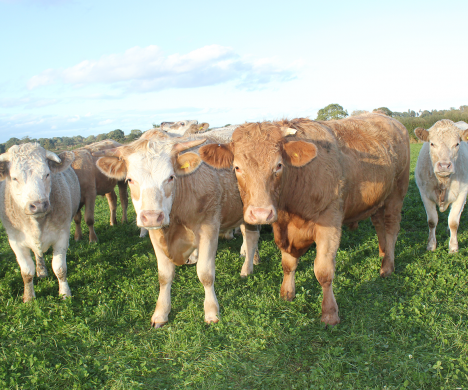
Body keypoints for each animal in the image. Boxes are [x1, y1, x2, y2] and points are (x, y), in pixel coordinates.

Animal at [0, 143, 80, 302]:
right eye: (14, 178)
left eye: (47, 174)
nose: (38, 205)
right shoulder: (15, 241)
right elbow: (26, 272)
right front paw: (29, 297)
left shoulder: (62, 236)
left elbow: (60, 268)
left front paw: (65, 293)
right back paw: (41, 271)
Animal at [96, 133, 260, 328]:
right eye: (130, 179)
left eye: (170, 177)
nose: (152, 216)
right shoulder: (156, 234)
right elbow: (164, 275)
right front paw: (161, 313)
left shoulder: (209, 228)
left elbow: (205, 273)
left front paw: (211, 311)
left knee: (251, 237)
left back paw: (247, 268)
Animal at [199, 113, 412, 326]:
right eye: (237, 167)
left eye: (278, 165)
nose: (260, 213)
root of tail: (387, 118)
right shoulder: (283, 228)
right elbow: (288, 263)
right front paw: (287, 292)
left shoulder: (330, 224)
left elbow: (324, 271)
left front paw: (329, 313)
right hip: (379, 199)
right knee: (379, 225)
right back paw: (383, 253)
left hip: (397, 193)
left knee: (391, 228)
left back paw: (387, 266)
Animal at [414, 119, 468, 253]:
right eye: (432, 143)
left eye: (457, 144)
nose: (444, 165)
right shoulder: (424, 193)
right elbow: (432, 221)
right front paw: (431, 245)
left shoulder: (462, 193)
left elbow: (453, 222)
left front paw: (453, 247)